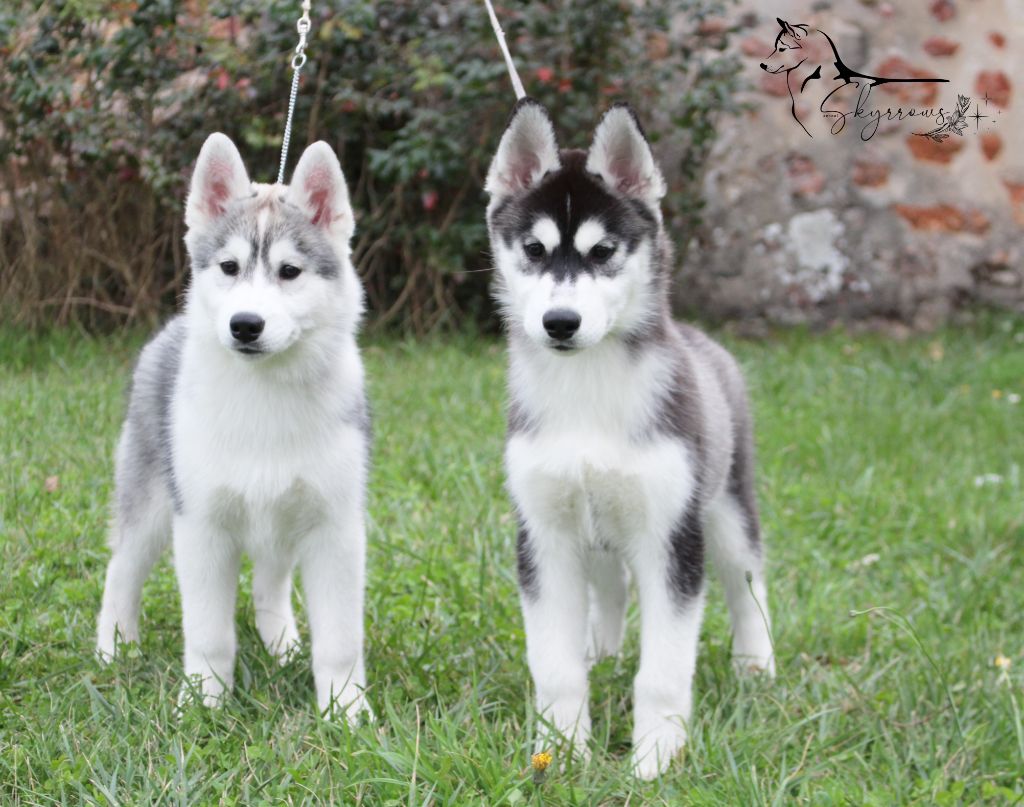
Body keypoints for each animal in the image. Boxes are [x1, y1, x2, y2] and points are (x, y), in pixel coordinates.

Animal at [96, 133, 371, 720]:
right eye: (228, 266)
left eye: (289, 272)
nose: (244, 325)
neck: (263, 395)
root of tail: (172, 325)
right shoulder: (201, 527)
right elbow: (209, 633)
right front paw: (203, 703)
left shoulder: (335, 529)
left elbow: (339, 640)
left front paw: (346, 712)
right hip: (151, 503)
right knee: (121, 569)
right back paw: (114, 648)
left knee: (270, 585)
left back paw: (284, 647)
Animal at [484, 100, 775, 779]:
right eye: (533, 249)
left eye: (604, 251)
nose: (560, 322)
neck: (586, 391)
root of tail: (703, 338)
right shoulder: (544, 537)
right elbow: (555, 666)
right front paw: (562, 750)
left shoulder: (672, 539)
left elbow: (663, 672)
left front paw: (656, 760)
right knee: (610, 587)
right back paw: (605, 652)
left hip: (726, 509)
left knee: (749, 583)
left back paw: (757, 666)